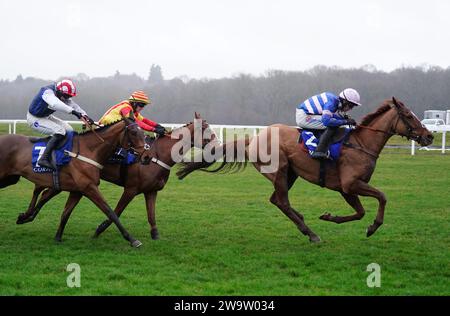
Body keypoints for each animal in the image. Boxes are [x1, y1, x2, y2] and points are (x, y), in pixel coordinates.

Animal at [0, 118, 148, 247]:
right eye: (134, 132)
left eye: (144, 133)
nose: (146, 157)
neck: (89, 150)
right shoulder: (89, 187)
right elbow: (110, 212)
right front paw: (132, 239)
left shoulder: (78, 190)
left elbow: (66, 212)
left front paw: (58, 237)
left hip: (11, 178)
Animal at [15, 113, 216, 239]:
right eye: (207, 131)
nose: (217, 147)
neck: (157, 155)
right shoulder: (131, 189)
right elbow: (117, 211)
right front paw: (99, 229)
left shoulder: (151, 191)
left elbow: (151, 215)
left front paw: (155, 235)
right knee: (43, 192)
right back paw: (27, 215)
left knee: (45, 193)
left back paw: (27, 216)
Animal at [178, 98, 434, 242]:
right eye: (409, 115)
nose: (429, 136)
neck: (361, 143)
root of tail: (254, 139)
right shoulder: (350, 184)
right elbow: (382, 196)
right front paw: (373, 227)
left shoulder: (346, 189)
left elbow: (361, 211)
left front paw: (330, 216)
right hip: (280, 170)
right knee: (281, 201)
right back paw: (310, 233)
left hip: (290, 173)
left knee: (277, 200)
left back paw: (303, 221)